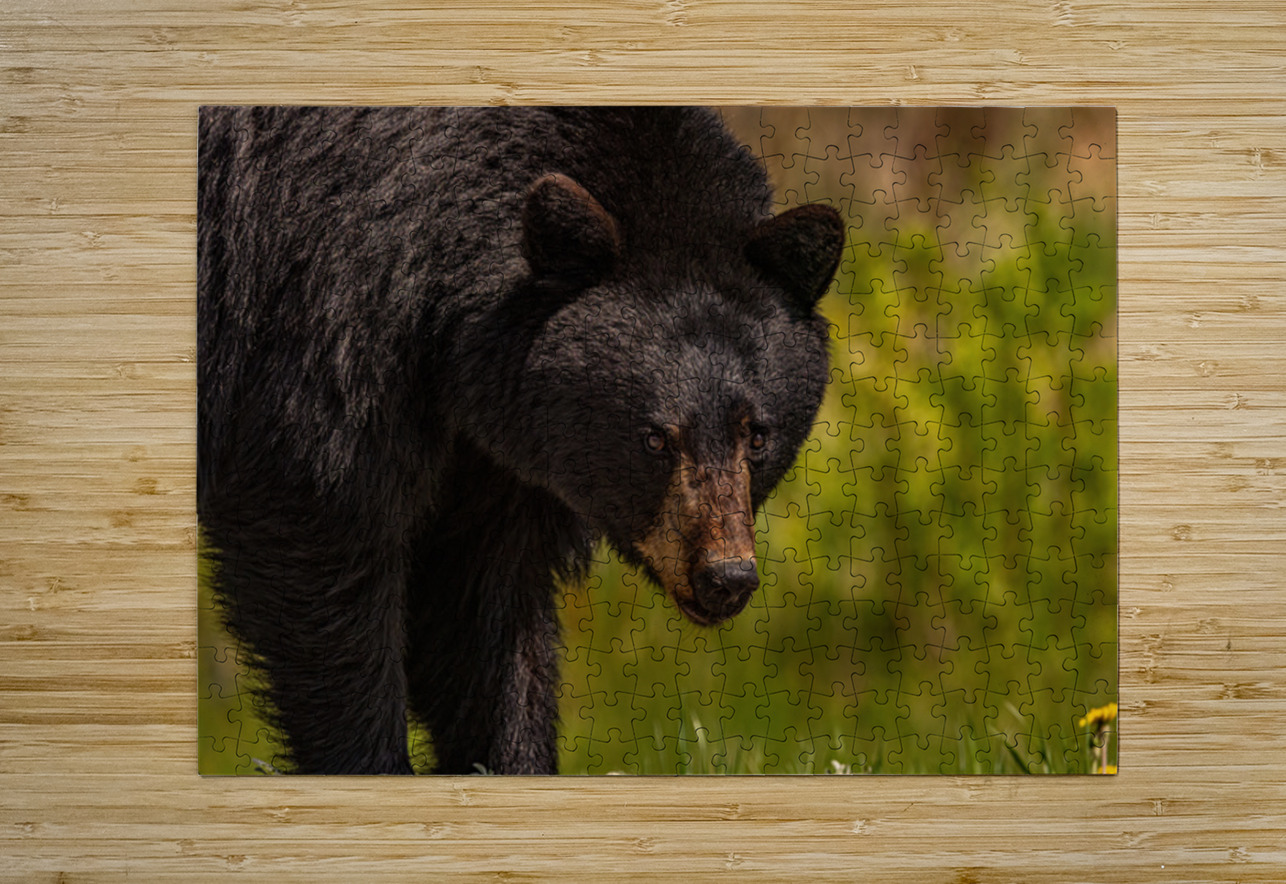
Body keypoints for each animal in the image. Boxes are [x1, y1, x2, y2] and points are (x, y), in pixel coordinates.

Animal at [197, 106, 845, 775]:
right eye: (654, 439)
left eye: (758, 435)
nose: (726, 576)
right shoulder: (319, 318)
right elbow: (319, 524)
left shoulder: (501, 437)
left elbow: (482, 597)